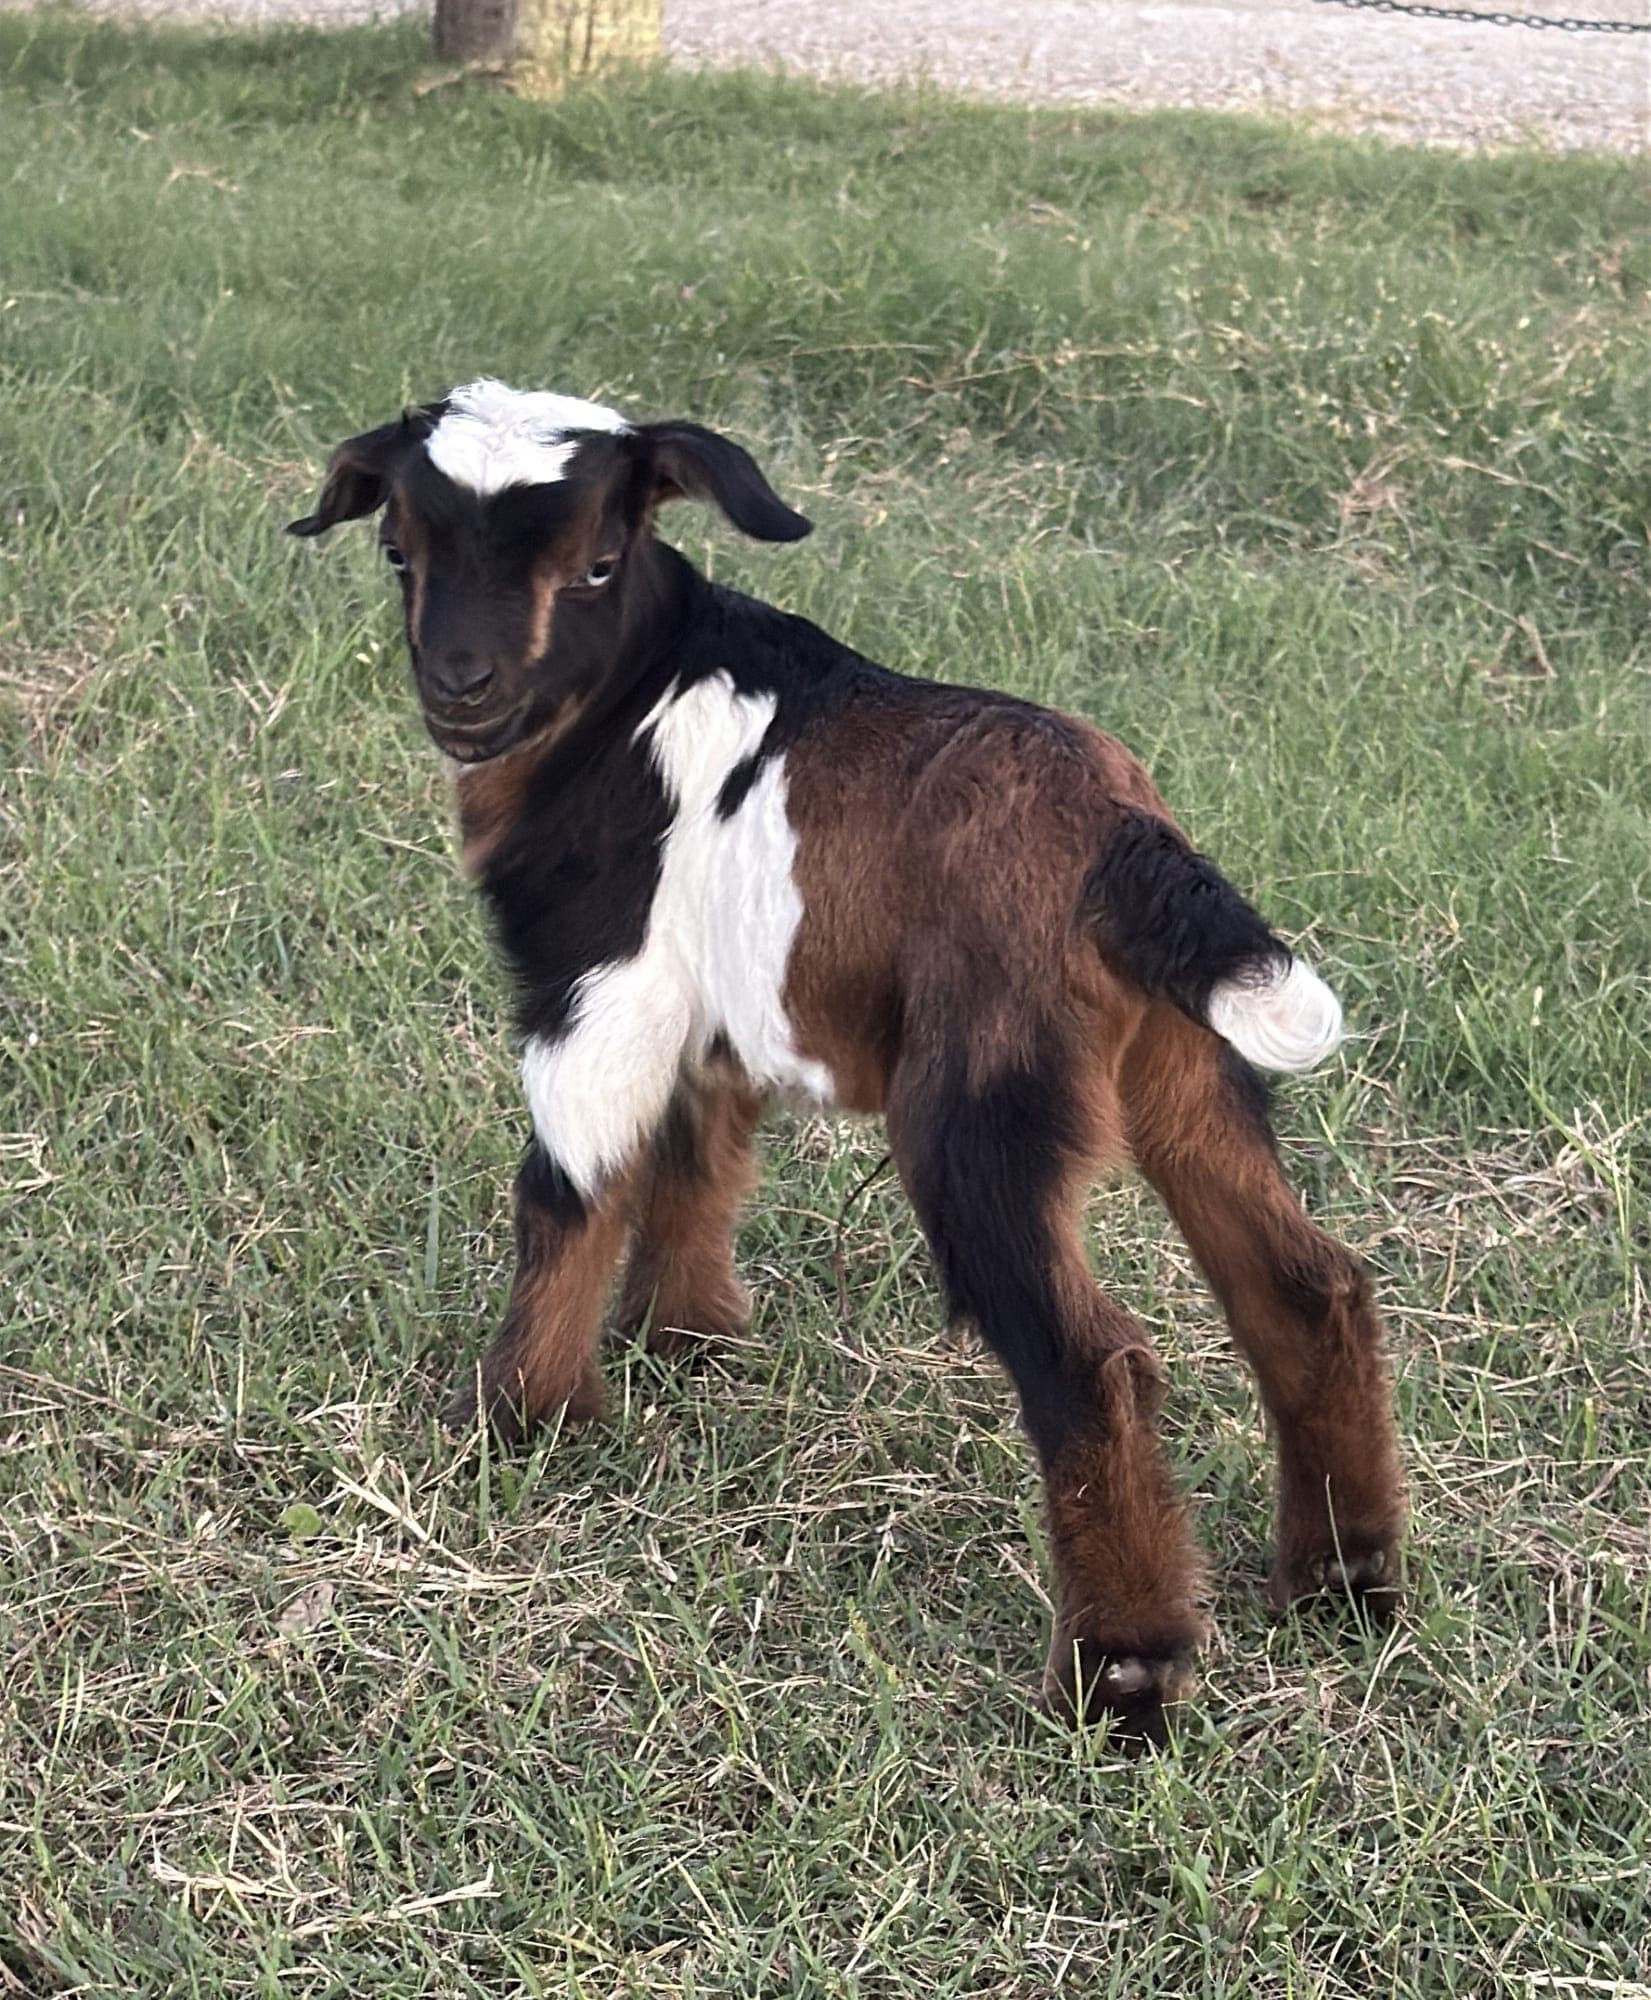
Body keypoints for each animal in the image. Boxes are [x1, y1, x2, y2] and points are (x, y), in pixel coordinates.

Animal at [290, 378, 1405, 1733]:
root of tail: (1124, 846)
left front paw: (520, 1420)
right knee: (1304, 1283)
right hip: (1183, 1062)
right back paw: (1344, 1579)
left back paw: (1122, 1674)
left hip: (981, 1099)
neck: (628, 701)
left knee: (1091, 1361)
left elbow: (567, 1188)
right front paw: (686, 1340)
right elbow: (697, 1155)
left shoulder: (598, 981)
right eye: (399, 549)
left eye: (599, 561)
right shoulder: (710, 1003)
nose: (463, 684)